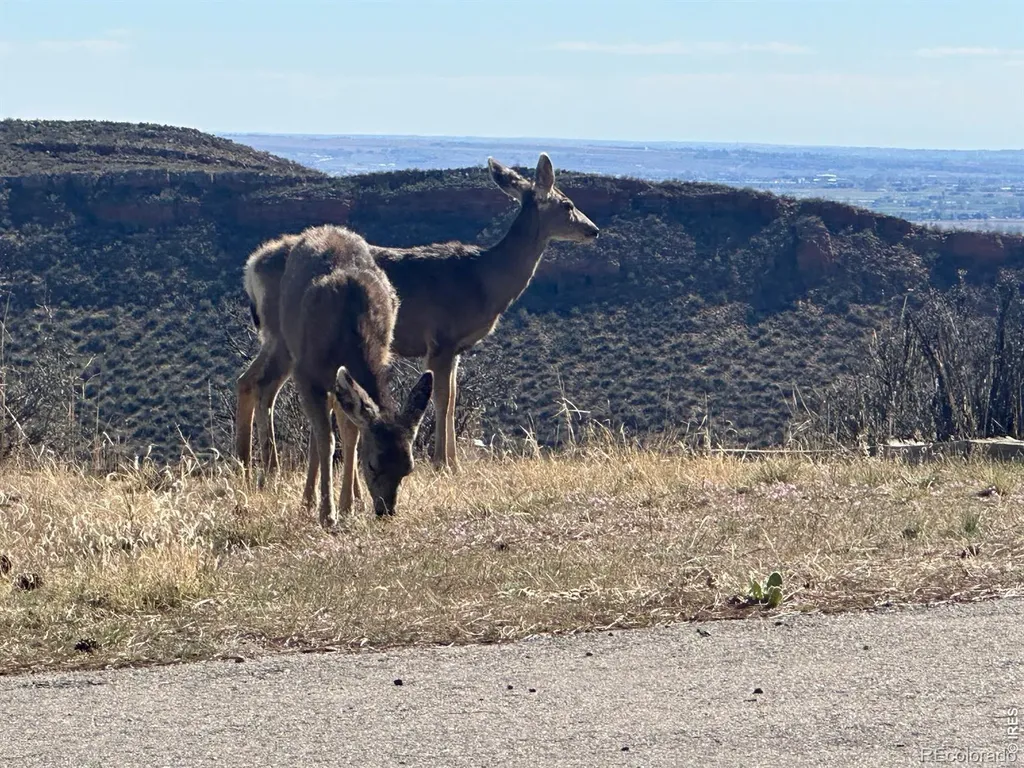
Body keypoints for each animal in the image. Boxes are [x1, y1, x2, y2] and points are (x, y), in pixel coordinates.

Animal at [236, 152, 598, 476]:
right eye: (568, 204)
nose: (593, 229)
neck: (484, 279)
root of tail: (252, 265)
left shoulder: (455, 348)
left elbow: (452, 397)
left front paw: (451, 462)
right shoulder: (442, 339)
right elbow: (442, 399)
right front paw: (444, 464)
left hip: (273, 335)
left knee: (247, 379)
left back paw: (245, 463)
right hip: (286, 333)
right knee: (266, 384)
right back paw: (268, 465)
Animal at [274, 224, 433, 527]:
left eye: (408, 468)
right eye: (373, 464)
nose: (385, 510)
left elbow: (352, 435)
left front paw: (346, 505)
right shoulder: (306, 372)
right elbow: (327, 440)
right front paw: (328, 514)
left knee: (345, 422)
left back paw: (353, 499)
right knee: (319, 433)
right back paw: (309, 501)